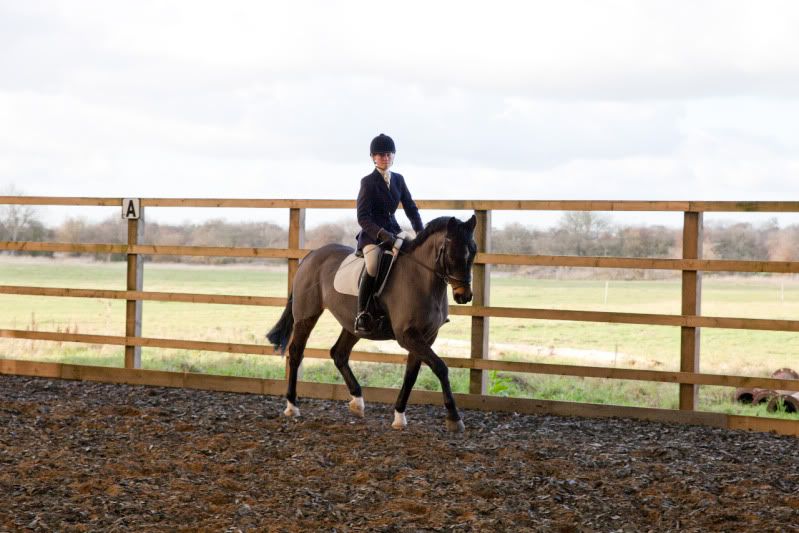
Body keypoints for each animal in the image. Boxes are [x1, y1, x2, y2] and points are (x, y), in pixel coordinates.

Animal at [266, 215, 477, 432]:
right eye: (452, 253)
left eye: (473, 251)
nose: (464, 296)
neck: (420, 278)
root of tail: (312, 255)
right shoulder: (407, 336)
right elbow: (440, 367)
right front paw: (454, 418)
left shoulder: (426, 337)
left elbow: (411, 375)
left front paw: (399, 416)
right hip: (306, 316)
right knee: (296, 352)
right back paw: (292, 406)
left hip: (353, 325)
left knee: (339, 354)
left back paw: (358, 402)